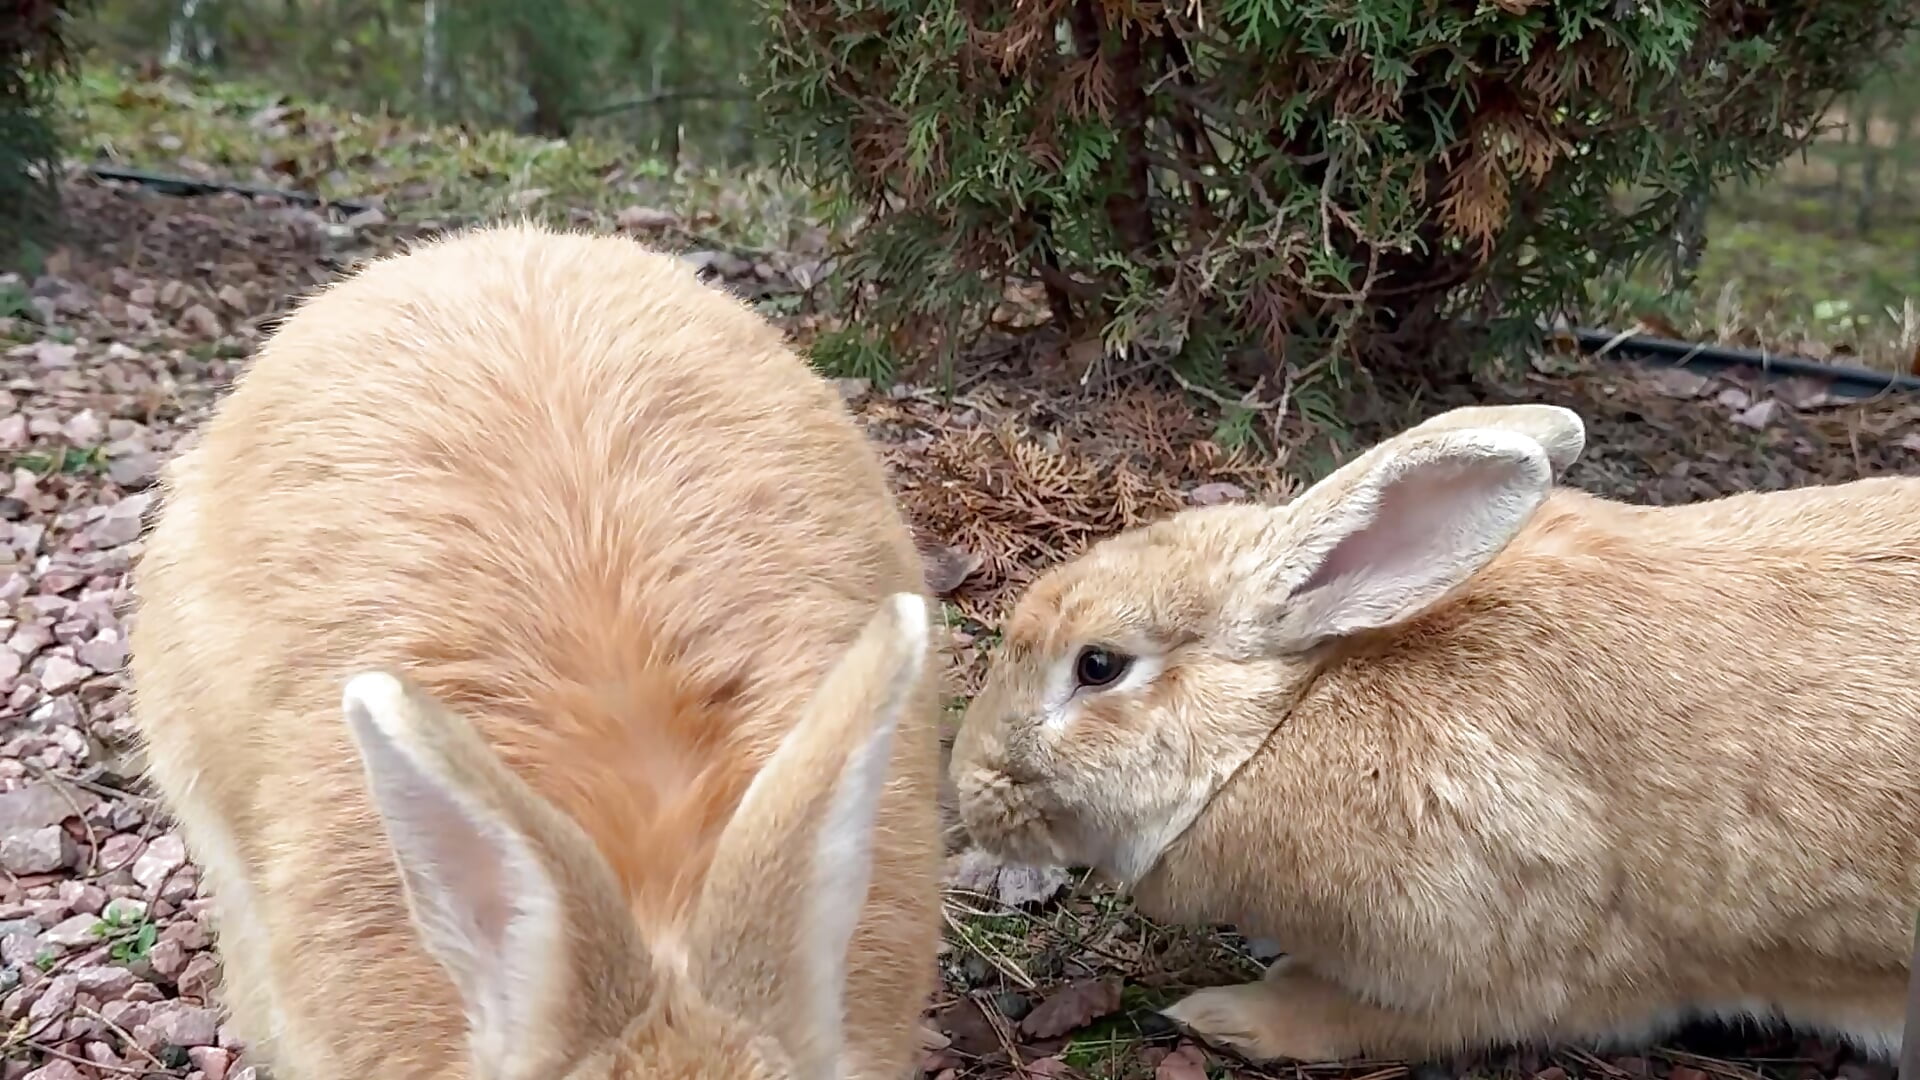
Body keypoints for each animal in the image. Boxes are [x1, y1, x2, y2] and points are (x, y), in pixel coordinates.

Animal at [948, 401, 1920, 1064]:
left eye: (1098, 666)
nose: (965, 784)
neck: (1281, 724)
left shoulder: (1502, 964)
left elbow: (1366, 1015)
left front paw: (1227, 1013)